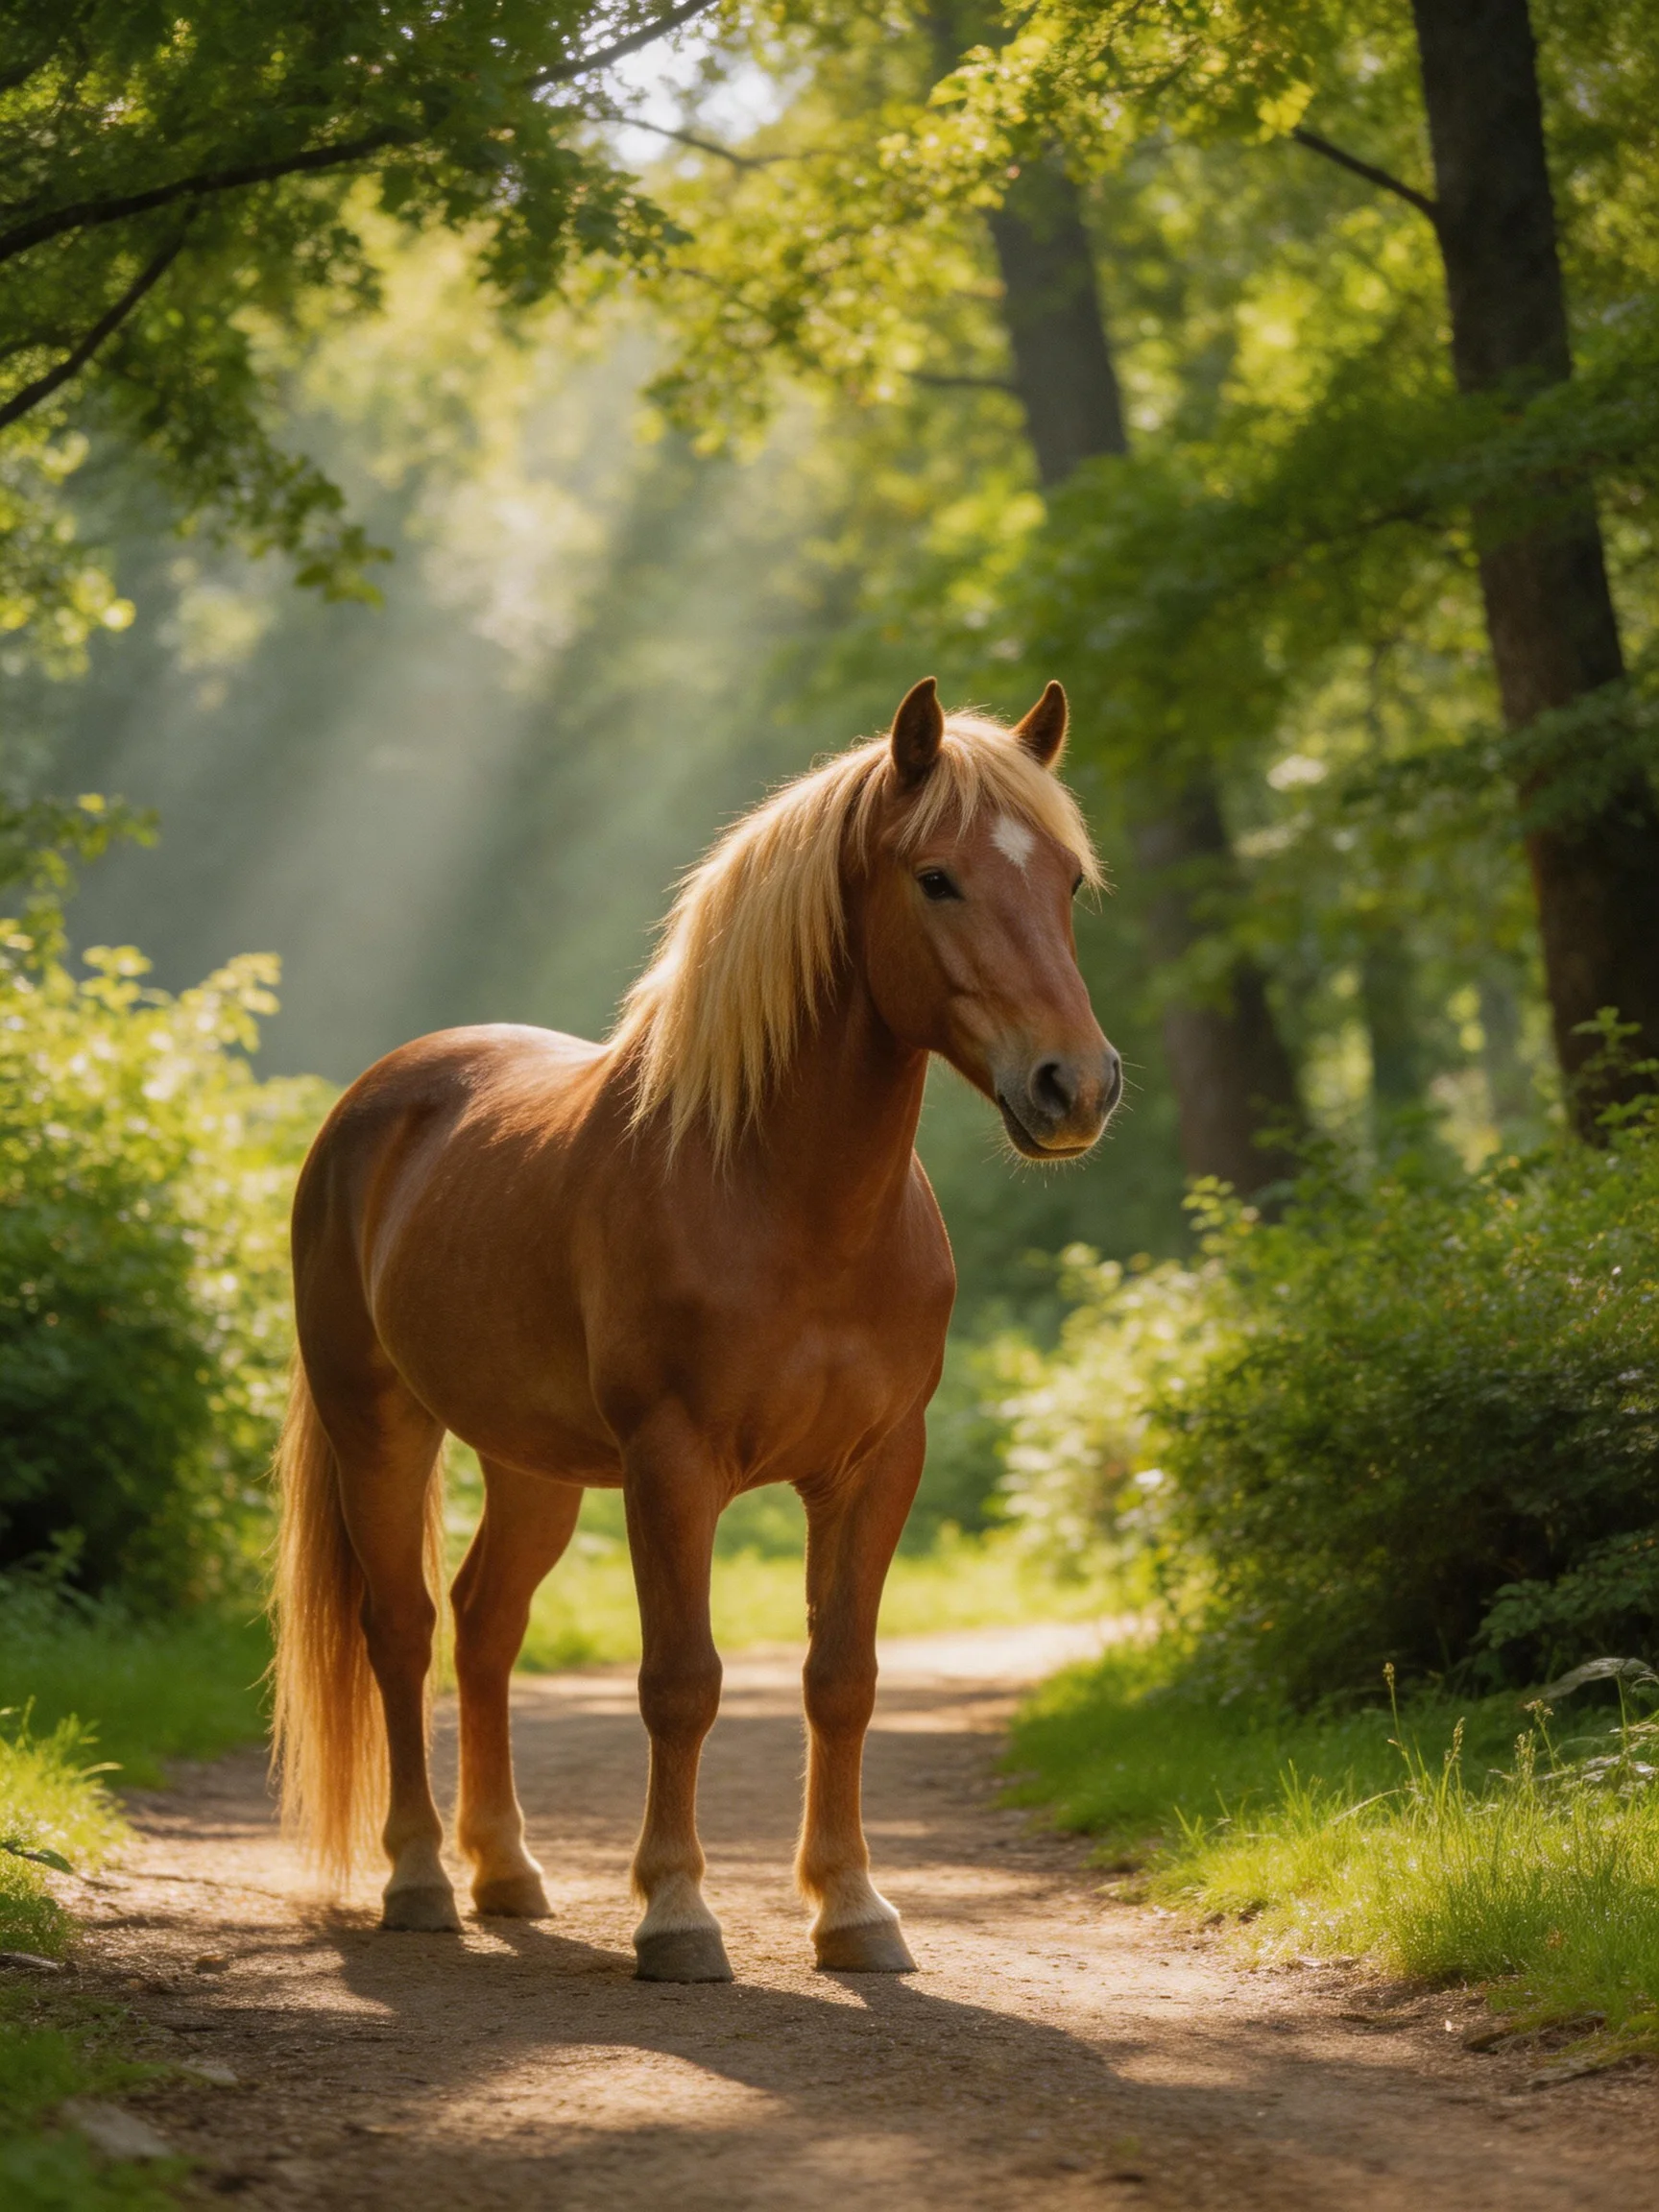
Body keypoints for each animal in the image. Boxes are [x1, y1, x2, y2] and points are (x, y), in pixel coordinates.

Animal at [270, 675, 1121, 1981]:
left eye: (1067, 882)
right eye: (937, 877)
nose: (1075, 1086)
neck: (789, 1202)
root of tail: (381, 1098)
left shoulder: (878, 1467)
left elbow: (842, 1679)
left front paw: (854, 1908)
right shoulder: (673, 1465)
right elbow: (682, 1682)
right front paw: (676, 1912)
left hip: (532, 1467)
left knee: (485, 1626)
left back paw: (507, 1872)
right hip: (381, 1425)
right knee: (401, 1630)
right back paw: (418, 1879)